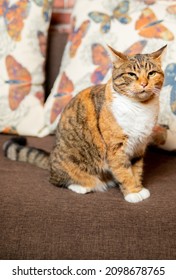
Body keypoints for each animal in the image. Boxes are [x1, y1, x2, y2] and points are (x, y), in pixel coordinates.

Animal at [3, 45, 167, 203]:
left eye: (151, 73)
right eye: (132, 74)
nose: (144, 84)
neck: (140, 107)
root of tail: (50, 159)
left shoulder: (139, 145)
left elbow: (136, 169)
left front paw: (139, 188)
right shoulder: (116, 148)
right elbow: (124, 171)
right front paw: (133, 193)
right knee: (58, 180)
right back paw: (81, 186)